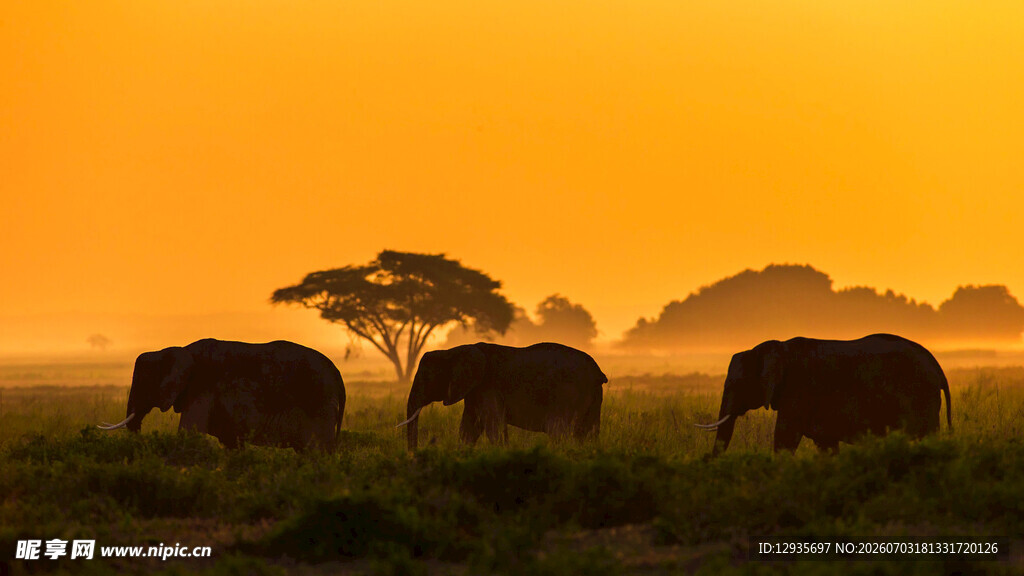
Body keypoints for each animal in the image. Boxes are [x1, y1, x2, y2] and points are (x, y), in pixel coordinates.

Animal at [99, 339, 346, 451]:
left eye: (144, 382)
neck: (176, 349)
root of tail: (338, 374)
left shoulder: (202, 389)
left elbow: (189, 432)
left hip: (319, 403)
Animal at [399, 342, 607, 450]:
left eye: (426, 378)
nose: (413, 456)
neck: (453, 350)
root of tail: (598, 372)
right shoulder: (474, 390)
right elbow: (468, 429)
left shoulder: (486, 387)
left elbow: (494, 427)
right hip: (594, 396)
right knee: (588, 433)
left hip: (566, 393)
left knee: (557, 430)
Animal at [697, 334, 951, 454]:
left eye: (736, 384)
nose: (705, 459)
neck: (774, 348)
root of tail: (936, 365)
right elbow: (826, 445)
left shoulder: (799, 390)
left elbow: (785, 439)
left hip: (920, 394)